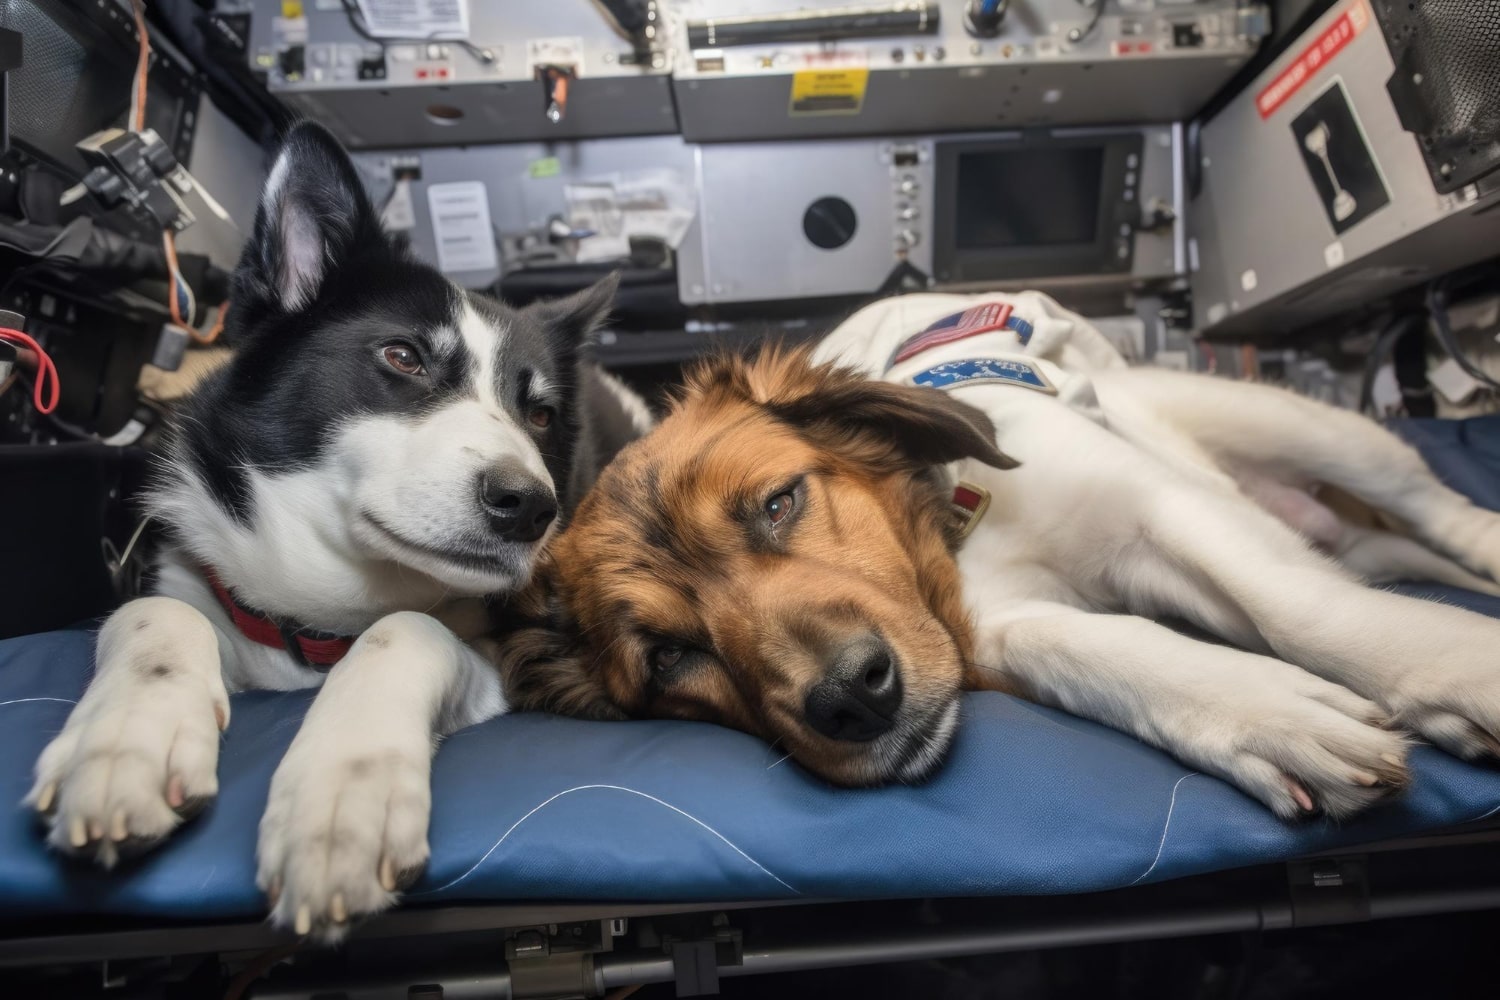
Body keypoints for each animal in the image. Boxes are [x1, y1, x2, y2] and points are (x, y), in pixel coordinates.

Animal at [23, 122, 645, 941]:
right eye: (403, 357)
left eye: (539, 414)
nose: (530, 507)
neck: (323, 612)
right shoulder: (199, 582)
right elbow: (154, 612)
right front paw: (122, 741)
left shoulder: (504, 654)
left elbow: (403, 628)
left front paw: (341, 794)